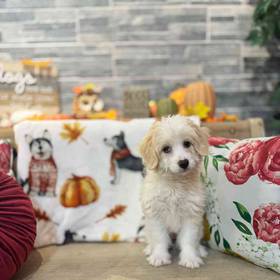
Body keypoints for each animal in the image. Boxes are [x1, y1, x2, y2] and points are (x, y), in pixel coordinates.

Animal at [139, 115, 209, 268]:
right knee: (151, 239)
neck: (175, 184)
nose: (184, 162)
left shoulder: (192, 214)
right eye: (166, 149)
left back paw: (200, 250)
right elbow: (159, 238)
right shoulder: (155, 214)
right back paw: (149, 249)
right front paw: (159, 256)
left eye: (187, 143)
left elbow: (188, 239)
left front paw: (190, 258)